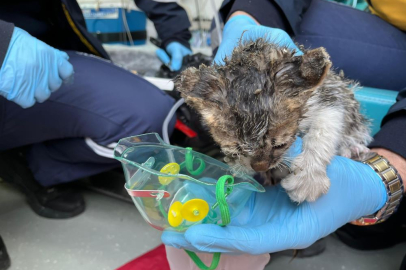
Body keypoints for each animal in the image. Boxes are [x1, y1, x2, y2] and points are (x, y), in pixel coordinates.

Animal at [174, 38, 372, 202]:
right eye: (237, 151)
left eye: (280, 145)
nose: (260, 167)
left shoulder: (331, 94)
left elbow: (324, 130)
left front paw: (307, 178)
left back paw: (352, 149)